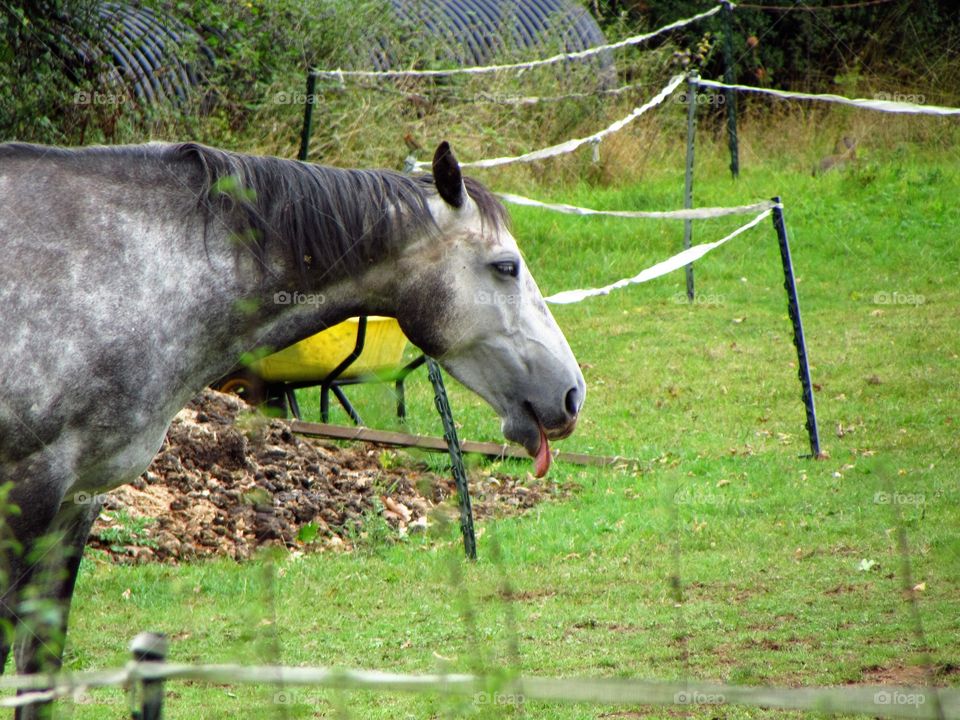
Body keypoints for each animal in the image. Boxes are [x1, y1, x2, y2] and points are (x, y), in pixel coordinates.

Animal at [0, 140, 584, 715]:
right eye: (506, 267)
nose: (572, 395)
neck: (133, 274)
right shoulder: (27, 492)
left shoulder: (77, 502)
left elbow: (39, 671)